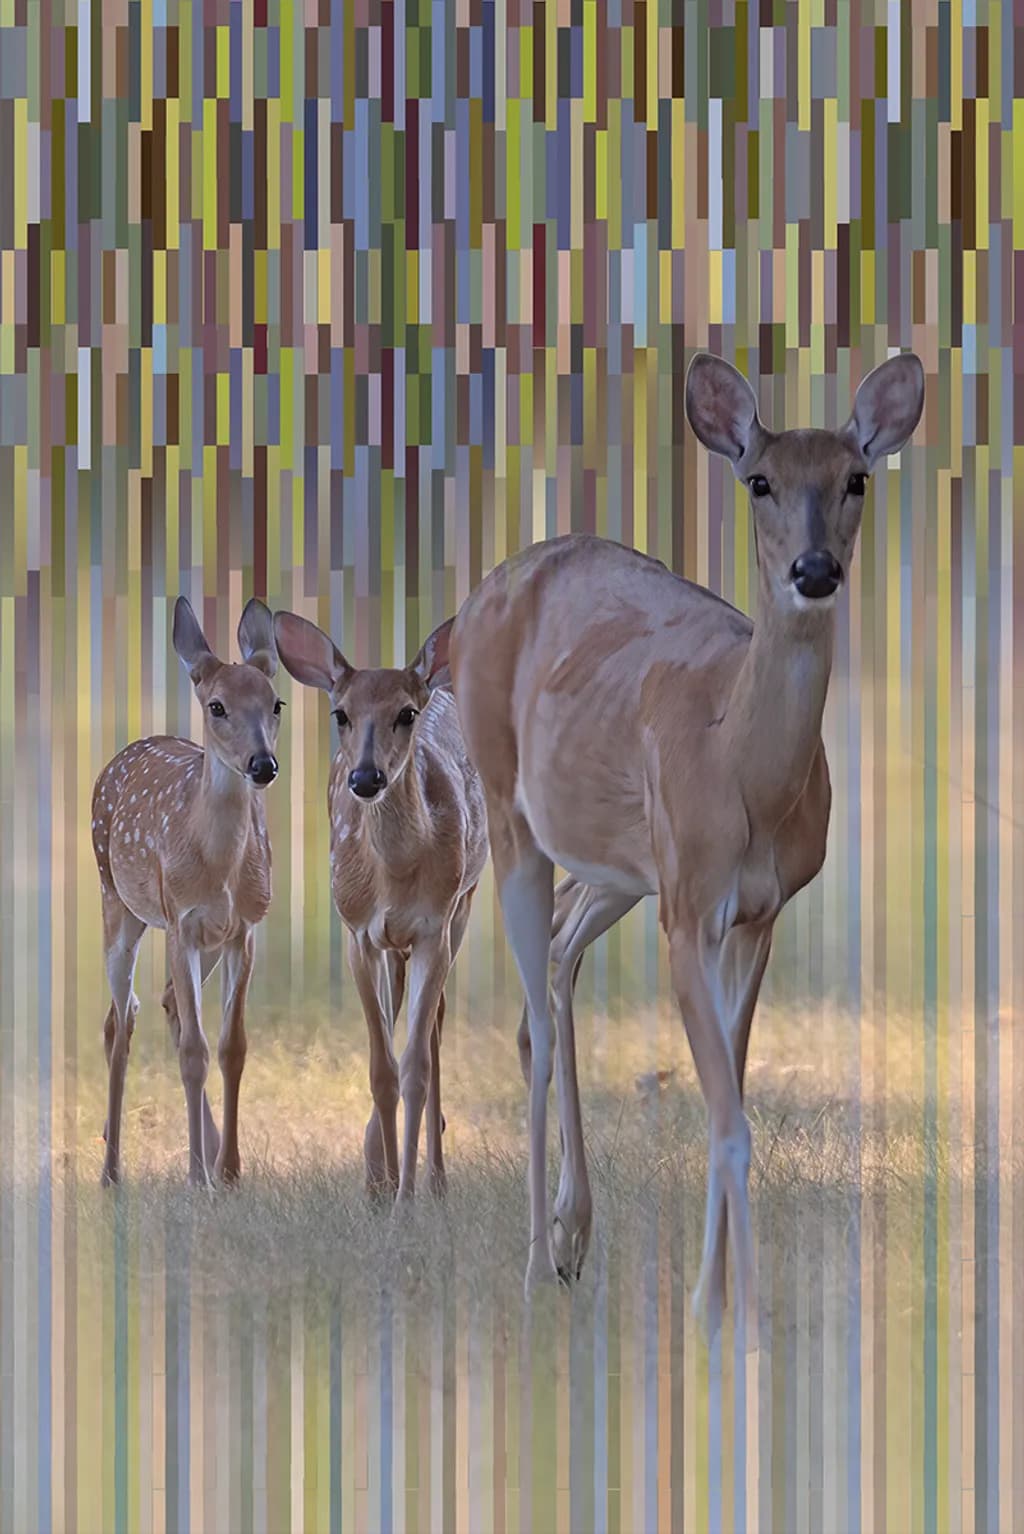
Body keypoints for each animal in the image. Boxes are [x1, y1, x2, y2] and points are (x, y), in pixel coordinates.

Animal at [91, 596, 284, 1188]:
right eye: (217, 706)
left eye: (276, 703)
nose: (262, 764)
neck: (216, 867)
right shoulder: (181, 921)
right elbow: (195, 1052)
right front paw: (199, 1176)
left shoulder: (242, 929)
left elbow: (230, 1047)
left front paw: (230, 1170)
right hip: (118, 903)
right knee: (119, 1020)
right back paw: (111, 1170)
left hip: (204, 943)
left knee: (166, 1003)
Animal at [272, 609, 488, 1203]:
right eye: (340, 713)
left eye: (405, 713)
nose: (365, 777)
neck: (394, 877)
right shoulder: (358, 933)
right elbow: (381, 1071)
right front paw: (386, 1183)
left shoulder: (436, 925)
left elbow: (415, 1068)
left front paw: (407, 1197)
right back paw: (377, 1171)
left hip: (463, 907)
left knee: (434, 1029)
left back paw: (435, 1178)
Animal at [445, 351, 925, 1336]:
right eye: (760, 481)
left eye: (856, 478)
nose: (814, 568)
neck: (741, 770)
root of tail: (476, 598)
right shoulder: (689, 910)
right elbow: (730, 1119)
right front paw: (734, 1315)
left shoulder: (757, 912)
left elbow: (727, 1097)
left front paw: (716, 1296)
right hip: (512, 813)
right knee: (536, 1007)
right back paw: (534, 1262)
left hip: (623, 868)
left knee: (555, 967)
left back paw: (574, 1232)